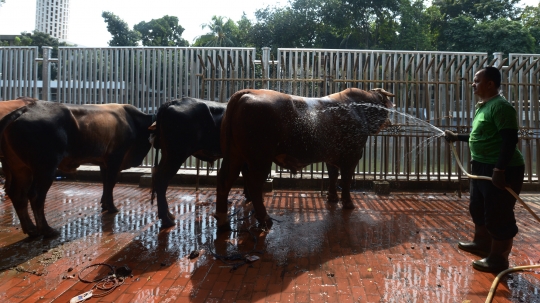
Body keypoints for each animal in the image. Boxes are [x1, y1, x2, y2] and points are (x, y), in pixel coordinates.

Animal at [0, 101, 153, 239]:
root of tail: (25, 109)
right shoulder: (115, 157)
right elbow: (111, 183)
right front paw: (111, 207)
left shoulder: (103, 161)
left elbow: (105, 183)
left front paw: (104, 204)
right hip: (46, 168)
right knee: (36, 195)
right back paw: (46, 230)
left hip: (21, 168)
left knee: (18, 194)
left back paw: (31, 229)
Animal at [213, 89, 394, 232]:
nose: (389, 121)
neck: (359, 109)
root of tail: (246, 92)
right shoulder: (352, 155)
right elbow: (346, 180)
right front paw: (348, 203)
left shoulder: (331, 156)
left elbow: (333, 175)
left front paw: (332, 197)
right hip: (260, 160)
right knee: (254, 185)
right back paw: (265, 219)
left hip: (235, 156)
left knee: (224, 181)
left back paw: (223, 221)